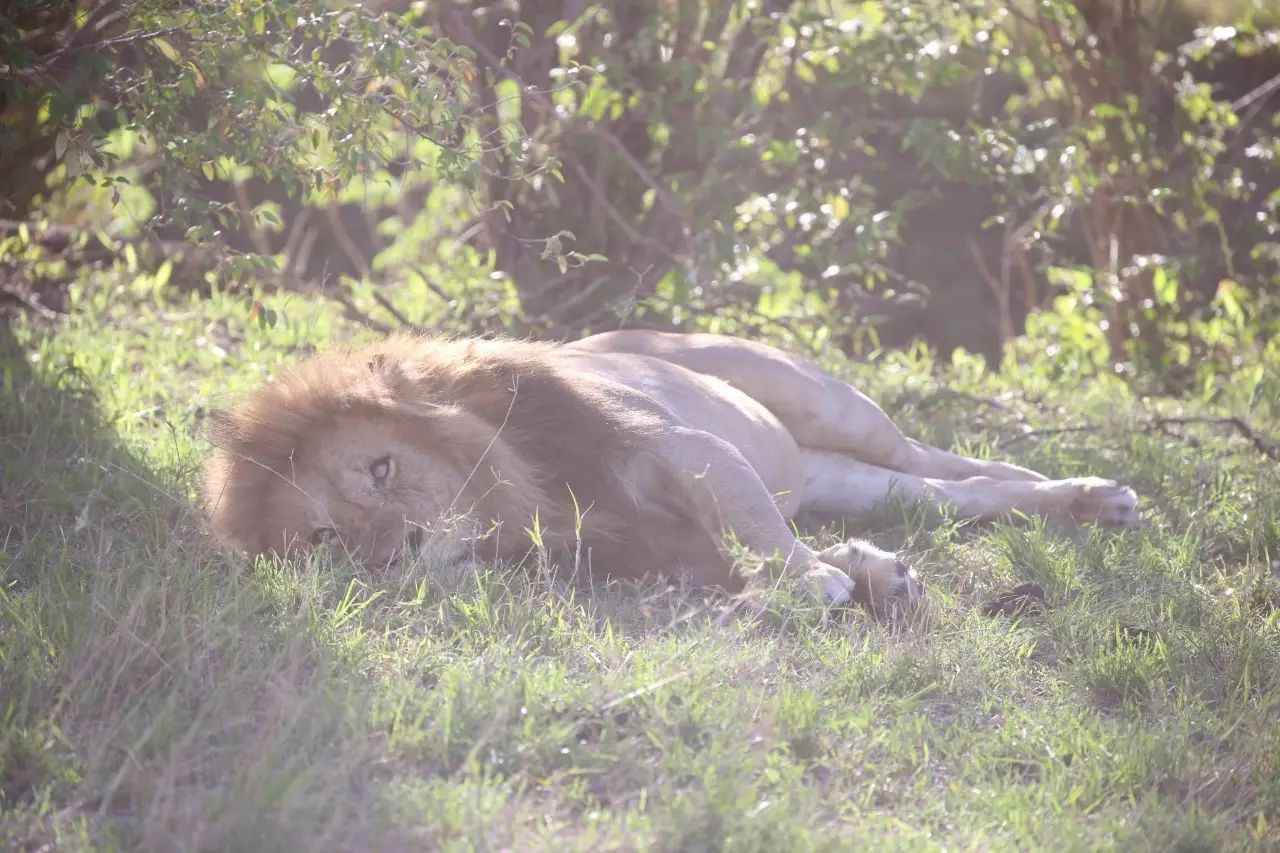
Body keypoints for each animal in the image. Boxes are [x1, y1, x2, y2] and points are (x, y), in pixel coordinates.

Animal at [202, 326, 1141, 612]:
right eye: (324, 538)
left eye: (383, 469)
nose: (399, 551)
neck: (521, 491)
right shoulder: (646, 550)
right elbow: (748, 550)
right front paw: (872, 575)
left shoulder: (680, 446)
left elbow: (755, 527)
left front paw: (816, 579)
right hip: (846, 479)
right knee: (953, 495)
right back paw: (1085, 507)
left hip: (826, 405)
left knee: (946, 455)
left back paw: (1098, 491)